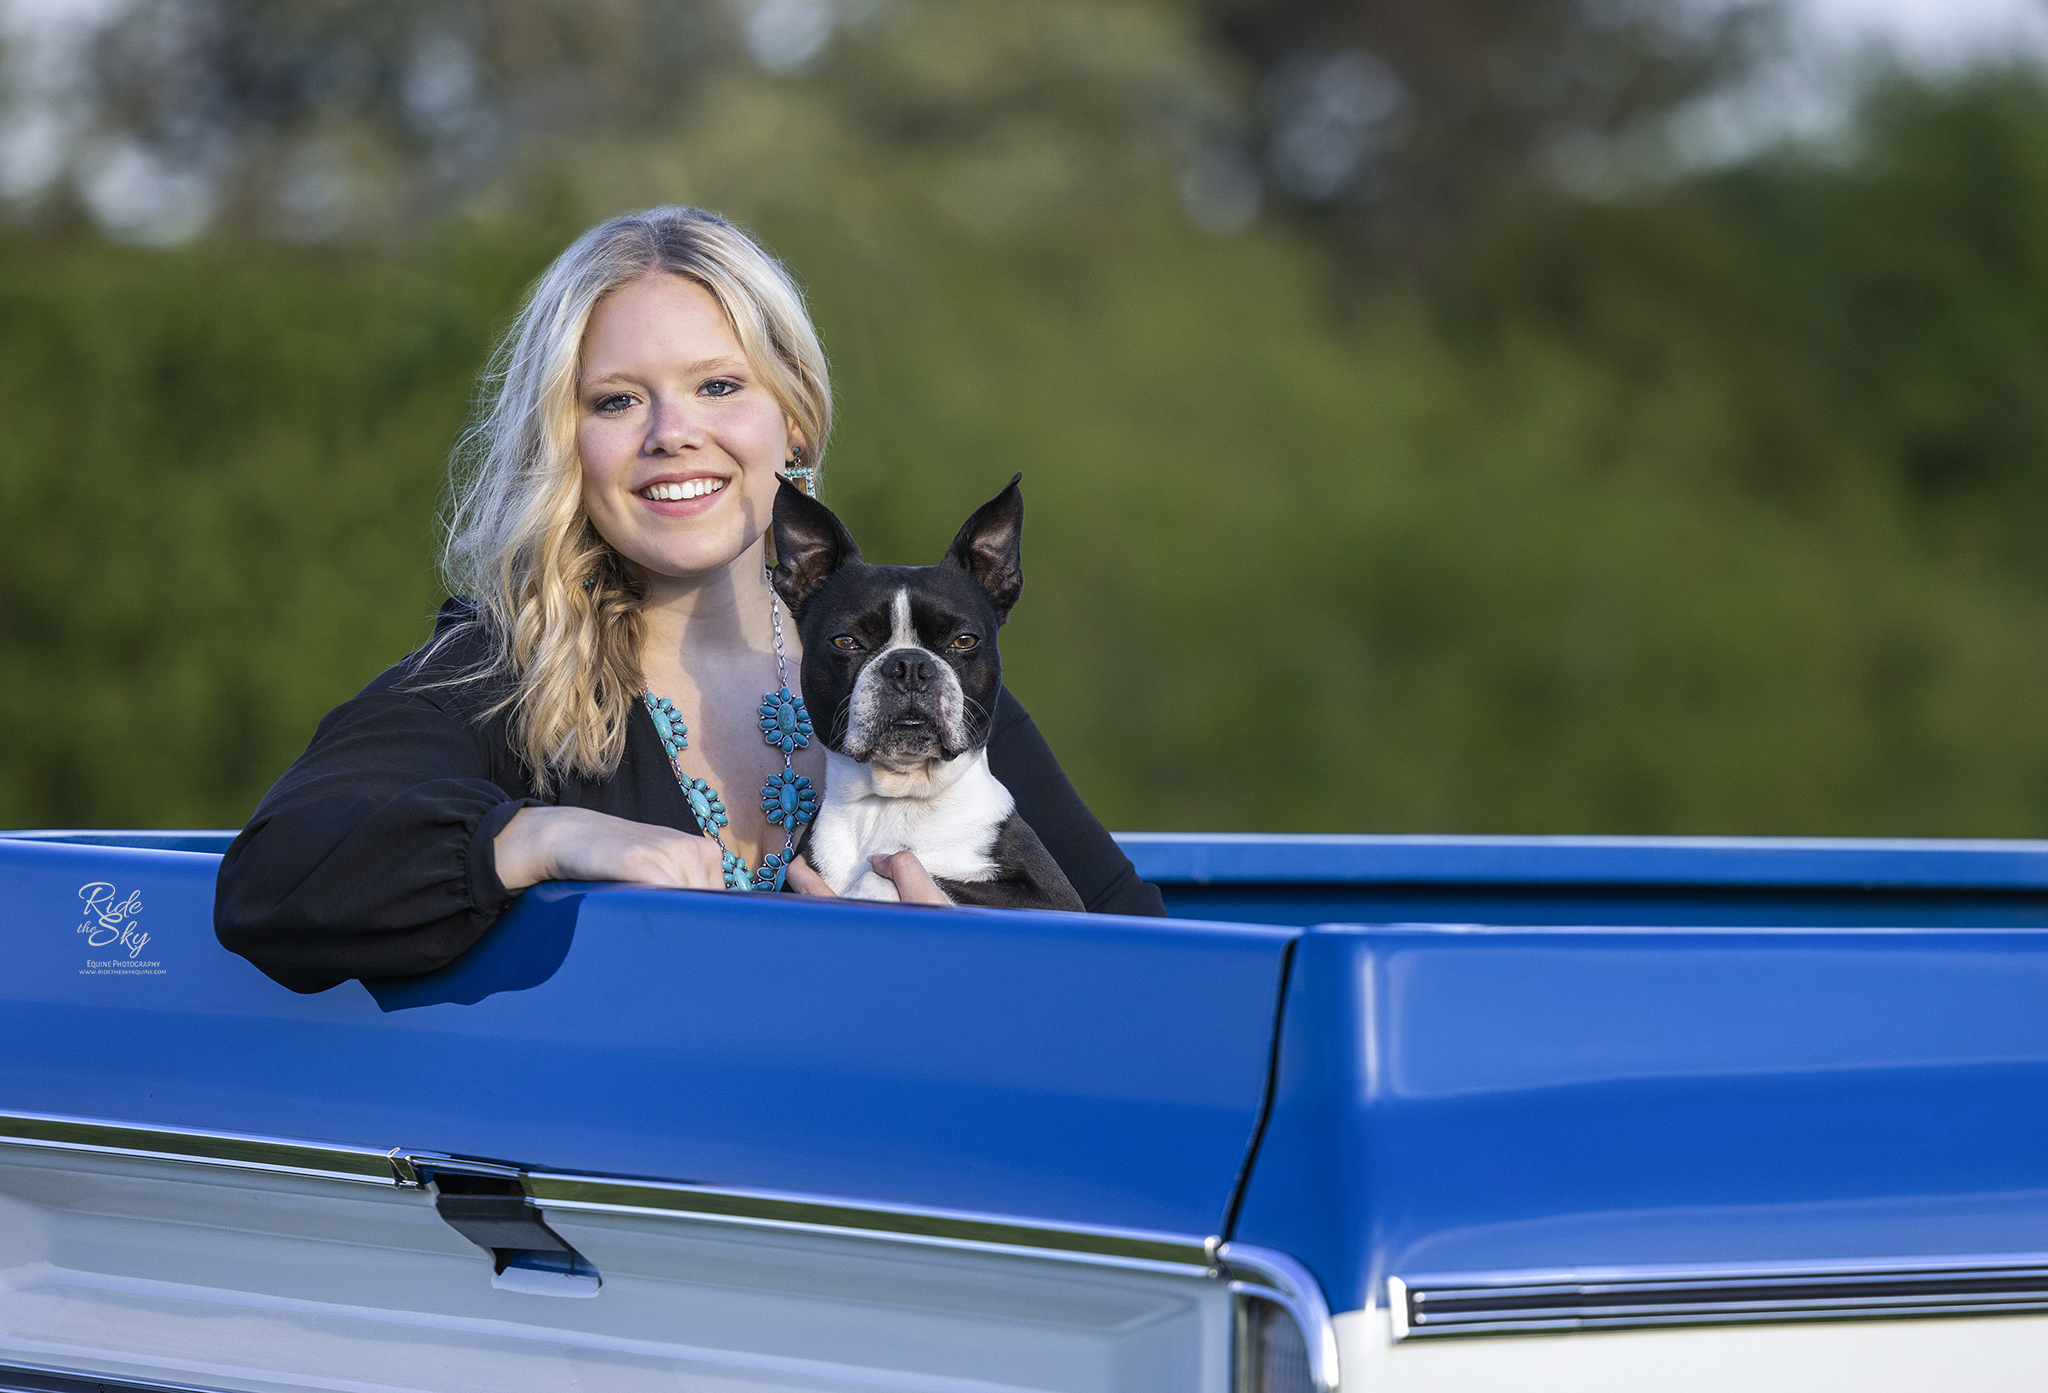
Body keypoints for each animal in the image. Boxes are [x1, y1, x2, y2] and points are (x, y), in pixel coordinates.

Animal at [770, 475, 1089, 913]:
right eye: (846, 641)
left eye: (964, 640)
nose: (908, 666)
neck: (896, 801)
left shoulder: (1051, 899)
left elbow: (896, 875)